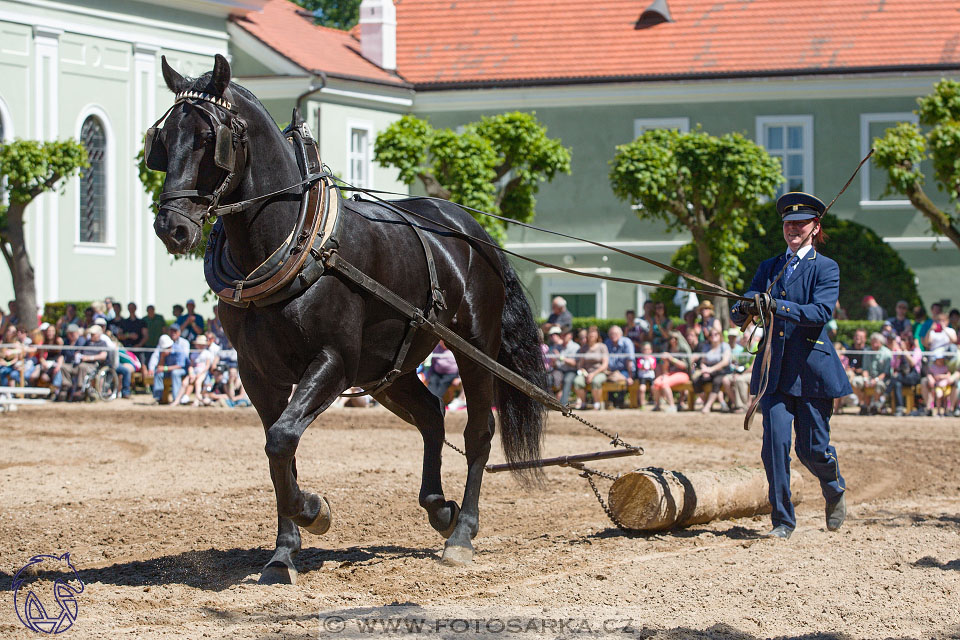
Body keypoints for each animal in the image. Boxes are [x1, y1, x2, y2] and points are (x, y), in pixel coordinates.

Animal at [146, 56, 544, 584]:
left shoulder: (334, 360)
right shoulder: (258, 373)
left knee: (477, 433)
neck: (294, 241)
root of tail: (471, 229)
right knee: (431, 415)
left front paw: (314, 511)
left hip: (474, 347)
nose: (171, 227)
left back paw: (461, 536)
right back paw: (440, 509)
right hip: (385, 370)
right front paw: (283, 553)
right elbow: (280, 450)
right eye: (162, 138)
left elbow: (282, 441)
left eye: (210, 137)